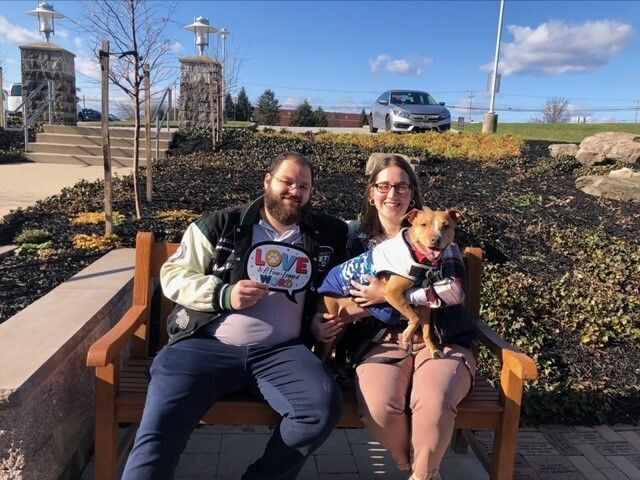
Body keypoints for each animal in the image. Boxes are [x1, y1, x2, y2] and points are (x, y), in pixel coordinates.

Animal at [318, 208, 460, 358]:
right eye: (423, 224)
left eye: (446, 226)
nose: (436, 239)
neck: (418, 257)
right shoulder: (392, 293)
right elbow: (415, 318)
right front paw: (407, 336)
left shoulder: (424, 304)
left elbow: (427, 331)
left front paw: (433, 350)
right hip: (329, 328)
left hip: (340, 328)